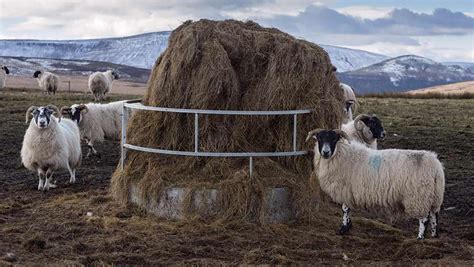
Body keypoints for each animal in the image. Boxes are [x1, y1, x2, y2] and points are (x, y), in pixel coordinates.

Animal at [306, 129, 446, 240]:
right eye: (320, 138)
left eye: (334, 138)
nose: (325, 152)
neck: (341, 154)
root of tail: (435, 166)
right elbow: (348, 209)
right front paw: (348, 226)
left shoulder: (345, 189)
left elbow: (345, 209)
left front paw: (343, 228)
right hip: (435, 196)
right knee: (434, 215)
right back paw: (434, 235)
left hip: (419, 196)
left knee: (424, 218)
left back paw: (420, 237)